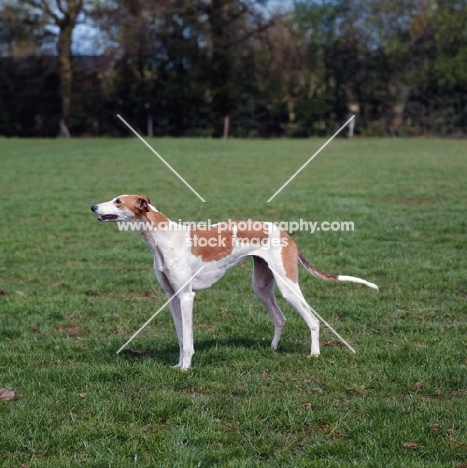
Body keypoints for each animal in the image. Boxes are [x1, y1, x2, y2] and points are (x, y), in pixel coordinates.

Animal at [91, 194, 380, 370]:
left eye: (118, 201)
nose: (93, 207)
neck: (162, 237)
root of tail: (286, 233)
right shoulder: (172, 297)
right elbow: (182, 338)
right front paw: (178, 365)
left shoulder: (186, 296)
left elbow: (189, 339)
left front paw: (186, 368)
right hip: (261, 287)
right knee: (280, 318)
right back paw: (273, 349)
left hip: (288, 287)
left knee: (313, 321)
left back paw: (315, 354)